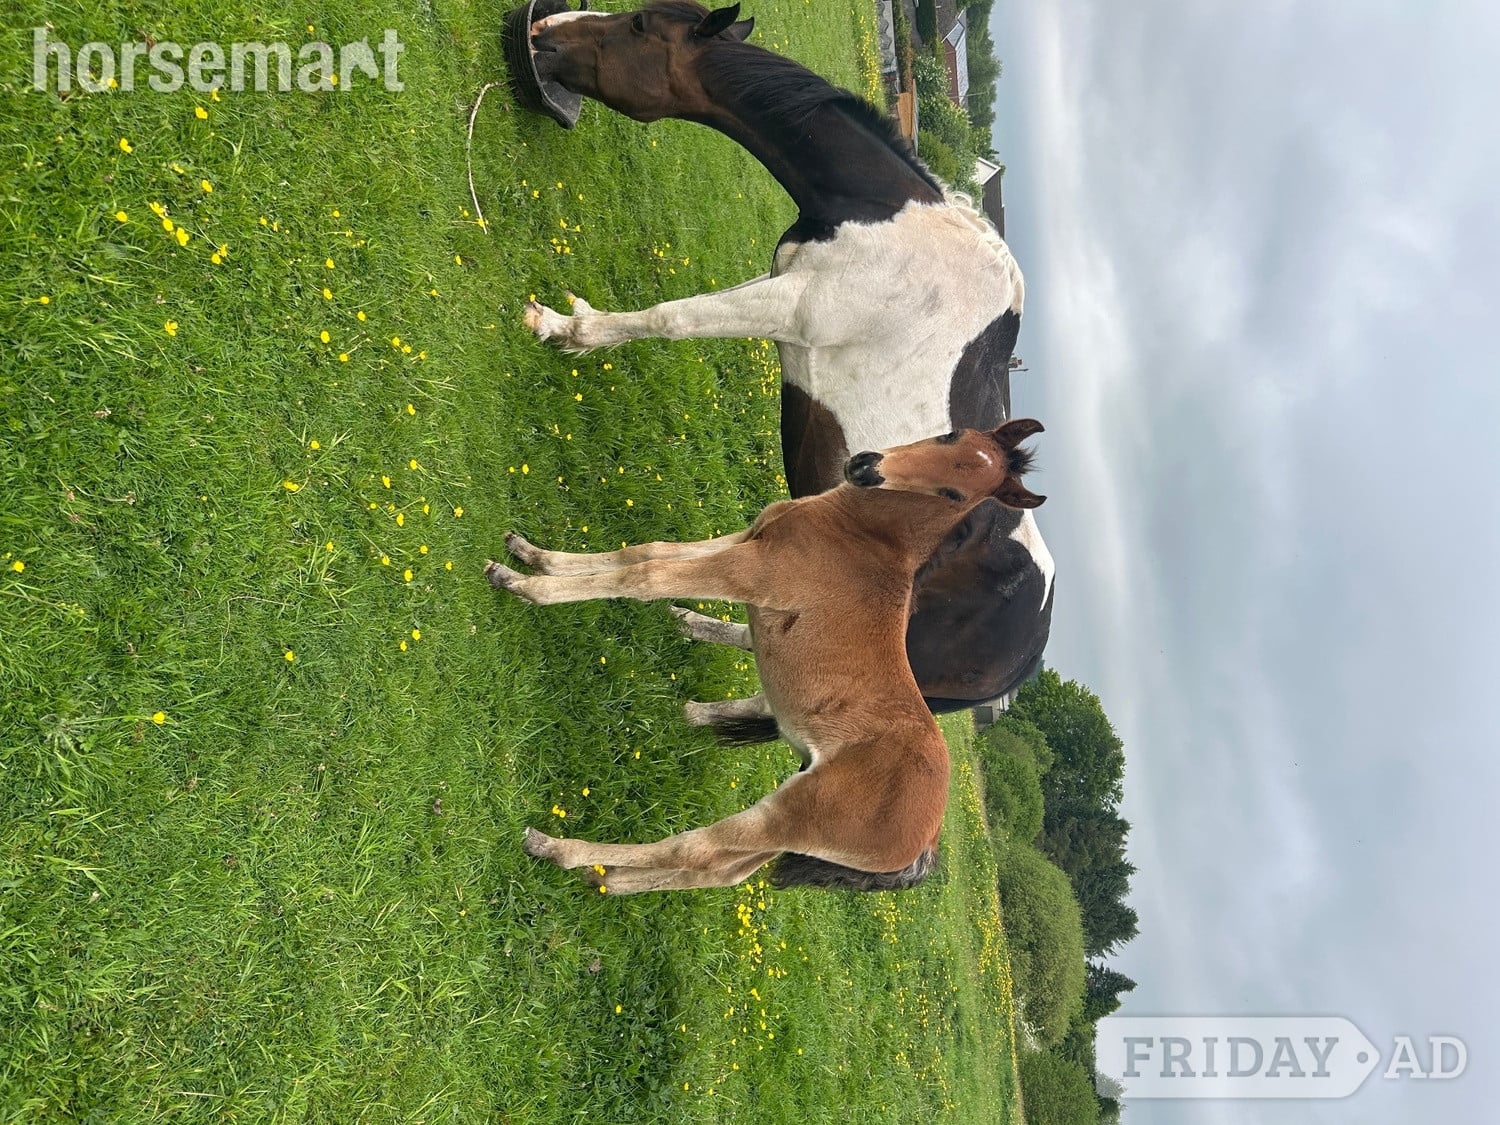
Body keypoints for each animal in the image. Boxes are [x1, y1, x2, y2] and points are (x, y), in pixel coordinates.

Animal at [486, 420, 1046, 893]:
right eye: (951, 435)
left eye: (955, 494)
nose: (866, 466)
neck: (860, 535)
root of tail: (927, 843)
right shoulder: (747, 538)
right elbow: (645, 551)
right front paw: (533, 555)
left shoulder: (750, 570)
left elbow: (644, 576)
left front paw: (524, 586)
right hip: (791, 828)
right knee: (719, 869)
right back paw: (611, 881)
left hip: (793, 813)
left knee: (697, 848)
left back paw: (559, 849)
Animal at [517, 1, 1055, 732]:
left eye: (637, 29)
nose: (543, 30)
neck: (887, 222)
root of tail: (1022, 663)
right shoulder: (780, 287)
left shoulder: (792, 307)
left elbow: (670, 318)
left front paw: (566, 329)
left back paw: (693, 710)